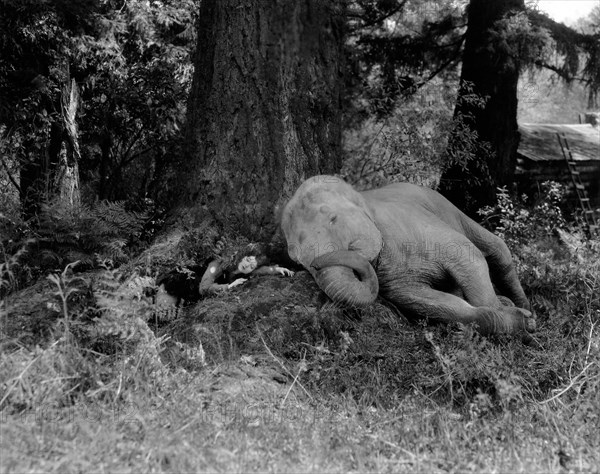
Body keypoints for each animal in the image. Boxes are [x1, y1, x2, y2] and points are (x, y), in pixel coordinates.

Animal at [282, 176, 536, 338]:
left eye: (333, 219)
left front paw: (523, 318)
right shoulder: (394, 283)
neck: (364, 199)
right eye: (298, 261)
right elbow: (432, 303)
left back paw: (523, 304)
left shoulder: (416, 224)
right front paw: (519, 318)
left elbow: (468, 257)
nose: (316, 263)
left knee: (498, 250)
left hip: (446, 206)